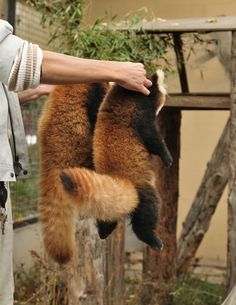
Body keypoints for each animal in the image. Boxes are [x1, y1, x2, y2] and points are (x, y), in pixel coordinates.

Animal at [61, 69, 172, 252]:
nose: (163, 105)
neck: (124, 94)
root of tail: (118, 182)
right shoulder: (139, 115)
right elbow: (153, 139)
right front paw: (167, 158)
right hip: (141, 189)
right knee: (149, 211)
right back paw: (153, 239)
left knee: (107, 214)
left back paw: (104, 232)